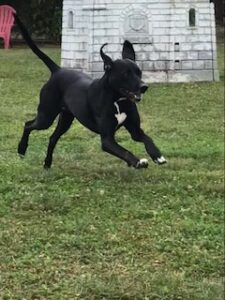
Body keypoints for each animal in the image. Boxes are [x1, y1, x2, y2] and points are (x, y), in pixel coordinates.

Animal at [14, 14, 166, 169]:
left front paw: (158, 156)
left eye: (139, 72)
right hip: (46, 117)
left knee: (52, 138)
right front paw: (137, 162)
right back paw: (21, 149)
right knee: (28, 125)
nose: (144, 86)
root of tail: (57, 70)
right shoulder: (107, 140)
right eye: (125, 74)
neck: (117, 101)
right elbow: (125, 152)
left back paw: (47, 163)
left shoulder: (135, 131)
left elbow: (148, 139)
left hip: (66, 119)